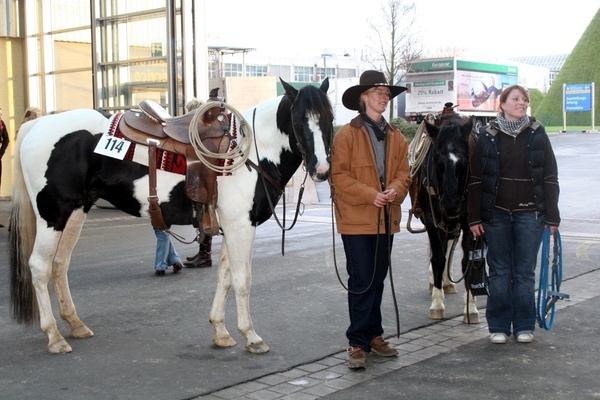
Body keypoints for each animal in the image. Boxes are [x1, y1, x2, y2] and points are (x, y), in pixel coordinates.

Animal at [9, 78, 332, 354]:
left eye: (329, 118)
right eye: (299, 120)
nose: (322, 170)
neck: (251, 151)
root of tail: (38, 124)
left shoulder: (230, 226)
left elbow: (225, 277)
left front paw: (220, 331)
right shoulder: (241, 225)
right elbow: (242, 279)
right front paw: (251, 336)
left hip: (76, 211)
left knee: (59, 264)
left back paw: (75, 324)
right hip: (52, 214)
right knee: (40, 267)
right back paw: (54, 336)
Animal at [410, 115, 480, 324]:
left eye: (464, 160)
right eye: (436, 159)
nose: (451, 204)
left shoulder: (470, 222)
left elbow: (468, 260)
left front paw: (471, 307)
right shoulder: (431, 219)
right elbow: (438, 258)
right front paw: (437, 303)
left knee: (450, 246)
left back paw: (447, 282)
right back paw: (438, 281)